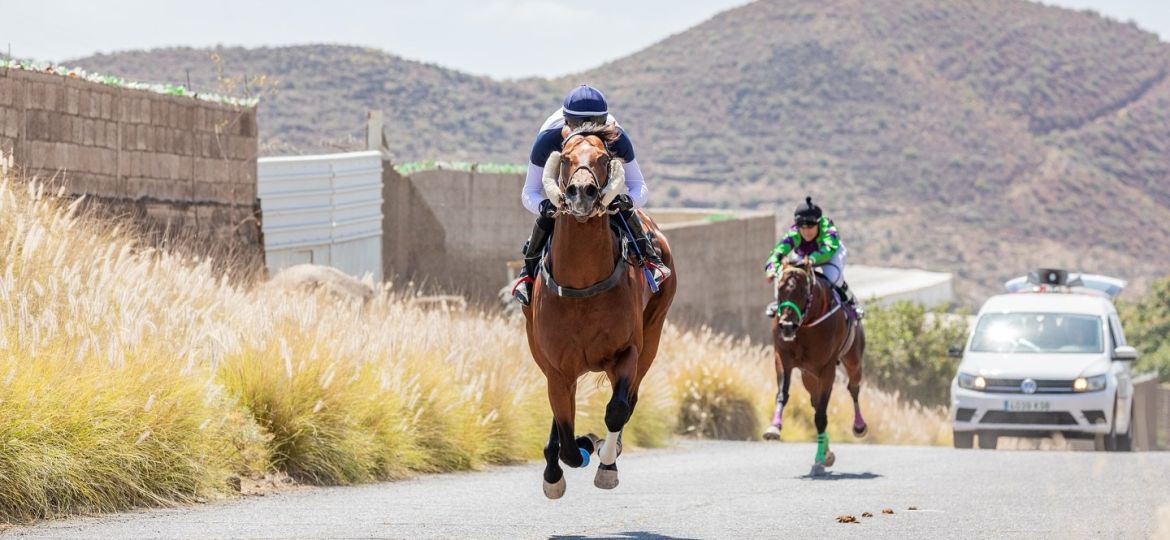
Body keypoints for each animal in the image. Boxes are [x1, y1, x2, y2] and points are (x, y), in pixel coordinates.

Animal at [522, 123, 677, 499]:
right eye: (565, 158)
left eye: (605, 157)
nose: (582, 192)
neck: (582, 285)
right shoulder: (557, 366)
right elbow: (565, 433)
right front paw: (573, 453)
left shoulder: (627, 352)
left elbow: (617, 410)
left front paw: (606, 462)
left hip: (652, 337)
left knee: (629, 399)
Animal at [764, 258, 867, 476]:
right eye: (780, 288)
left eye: (804, 291)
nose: (787, 326)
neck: (807, 324)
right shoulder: (783, 357)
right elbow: (783, 394)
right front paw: (773, 428)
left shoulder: (827, 368)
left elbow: (821, 415)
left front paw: (820, 458)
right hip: (808, 376)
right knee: (815, 400)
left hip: (853, 360)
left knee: (853, 388)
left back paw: (859, 426)